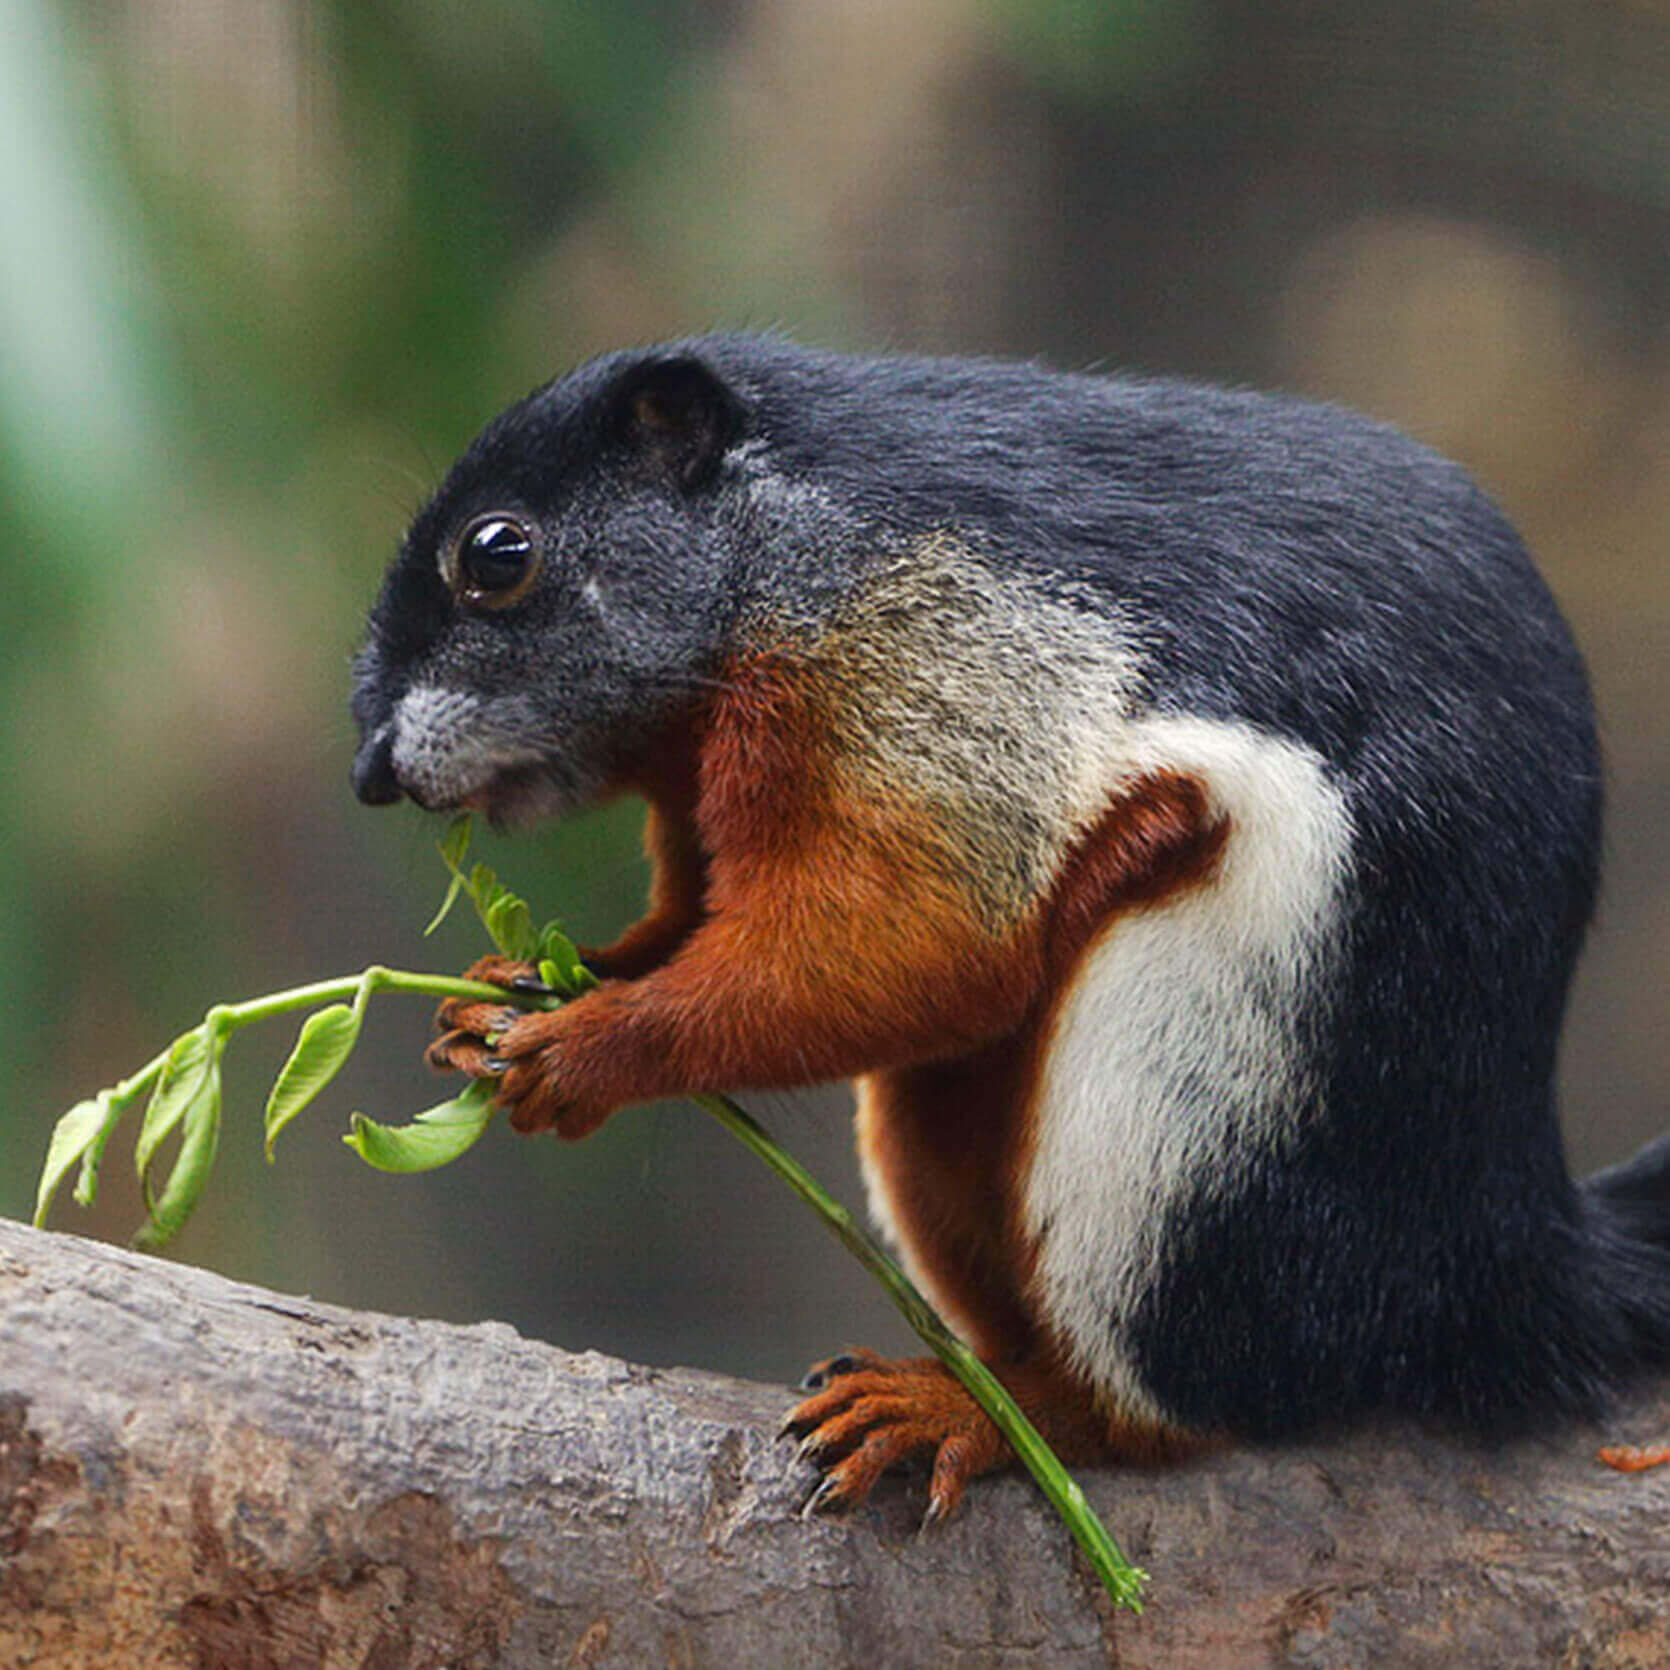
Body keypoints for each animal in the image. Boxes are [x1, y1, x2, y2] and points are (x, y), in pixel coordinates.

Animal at [350, 333, 1670, 1521]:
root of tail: (1492, 1246)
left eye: (498, 555)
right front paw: (511, 989)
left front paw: (582, 1047)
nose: (369, 771)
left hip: (1167, 1120)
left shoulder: (928, 671)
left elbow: (908, 947)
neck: (771, 550)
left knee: (1168, 1400)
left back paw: (973, 1410)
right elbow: (689, 922)